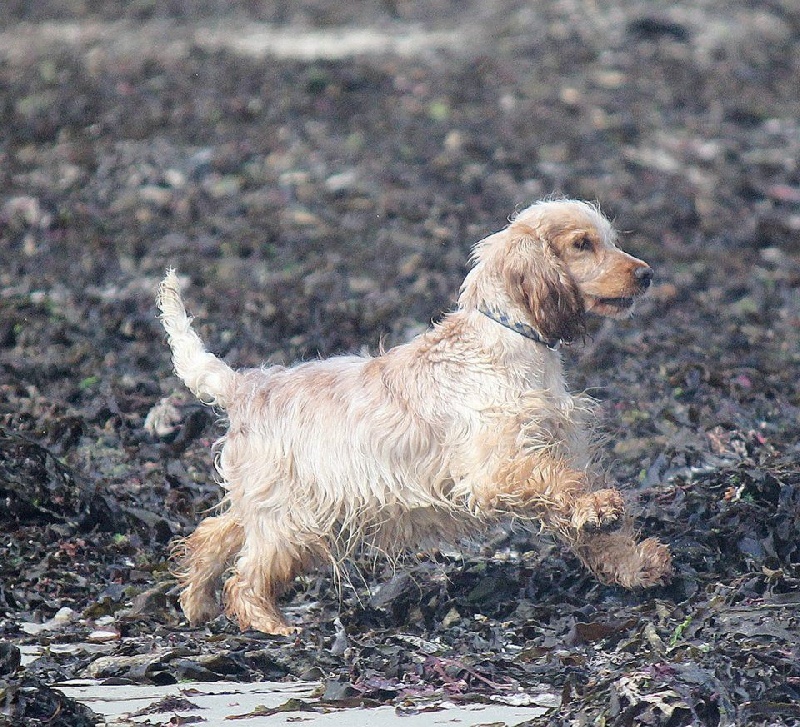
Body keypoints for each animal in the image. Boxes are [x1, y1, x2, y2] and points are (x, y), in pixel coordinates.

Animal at [157, 199, 672, 634]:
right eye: (582, 244)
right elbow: (558, 482)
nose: (647, 274)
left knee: (212, 536)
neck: (507, 340)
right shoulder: (496, 469)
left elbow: (589, 519)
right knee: (245, 577)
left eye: (608, 239)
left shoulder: (560, 444)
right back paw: (271, 625)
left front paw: (635, 564)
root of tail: (244, 386)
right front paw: (598, 507)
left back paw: (196, 604)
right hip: (292, 518)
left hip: (263, 502)